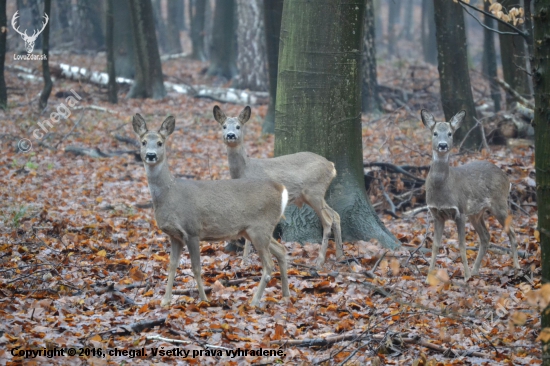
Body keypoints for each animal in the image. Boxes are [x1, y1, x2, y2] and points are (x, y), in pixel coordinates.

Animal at [133, 113, 292, 306]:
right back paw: (285, 294)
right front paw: (165, 301)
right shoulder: (174, 235)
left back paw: (254, 301)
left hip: (260, 227)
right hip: (253, 230)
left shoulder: (192, 230)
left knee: (269, 264)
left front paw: (204, 299)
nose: (150, 155)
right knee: (281, 251)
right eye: (143, 142)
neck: (170, 194)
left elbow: (196, 268)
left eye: (160, 143)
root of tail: (281, 189)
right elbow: (171, 266)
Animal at [213, 104, 342, 268]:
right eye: (223, 126)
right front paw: (244, 261)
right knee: (336, 215)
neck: (246, 171)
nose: (230, 135)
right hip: (313, 195)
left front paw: (247, 261)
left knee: (328, 220)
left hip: (314, 191)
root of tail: (331, 166)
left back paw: (319, 261)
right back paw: (340, 255)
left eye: (238, 126)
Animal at [422, 108, 520, 280]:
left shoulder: (460, 211)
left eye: (450, 133)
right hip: (476, 213)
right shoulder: (436, 214)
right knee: (486, 236)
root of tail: (507, 178)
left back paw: (516, 268)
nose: (442, 145)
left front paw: (466, 277)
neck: (443, 189)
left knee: (512, 233)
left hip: (499, 203)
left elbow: (462, 245)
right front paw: (428, 277)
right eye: (434, 133)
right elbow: (435, 245)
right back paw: (476, 271)